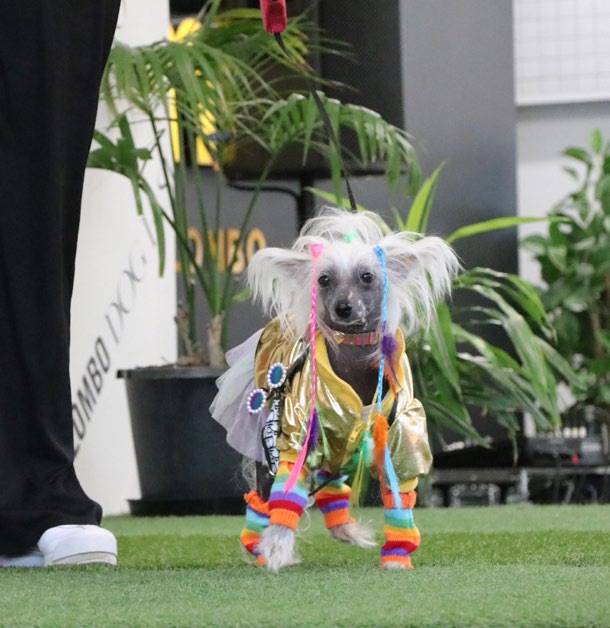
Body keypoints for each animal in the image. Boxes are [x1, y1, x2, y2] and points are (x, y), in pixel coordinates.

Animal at [211, 209, 458, 572]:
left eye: (367, 277)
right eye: (324, 280)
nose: (343, 307)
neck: (353, 357)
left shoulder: (401, 437)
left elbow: (400, 495)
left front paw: (397, 557)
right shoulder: (296, 434)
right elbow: (286, 499)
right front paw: (276, 549)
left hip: (337, 446)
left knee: (332, 488)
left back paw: (345, 530)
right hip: (272, 448)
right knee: (263, 501)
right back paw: (258, 547)